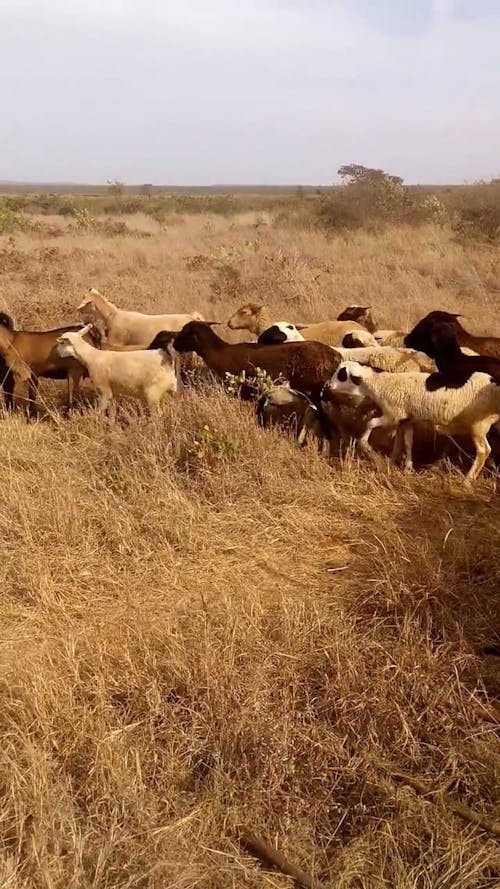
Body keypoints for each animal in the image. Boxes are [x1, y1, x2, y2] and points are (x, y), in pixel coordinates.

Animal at [324, 360, 500, 482]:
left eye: (341, 374)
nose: (327, 386)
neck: (381, 384)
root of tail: (494, 382)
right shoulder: (405, 420)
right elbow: (406, 442)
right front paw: (402, 466)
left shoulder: (392, 415)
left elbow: (370, 423)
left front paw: (365, 444)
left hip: (478, 425)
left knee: (484, 451)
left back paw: (468, 480)